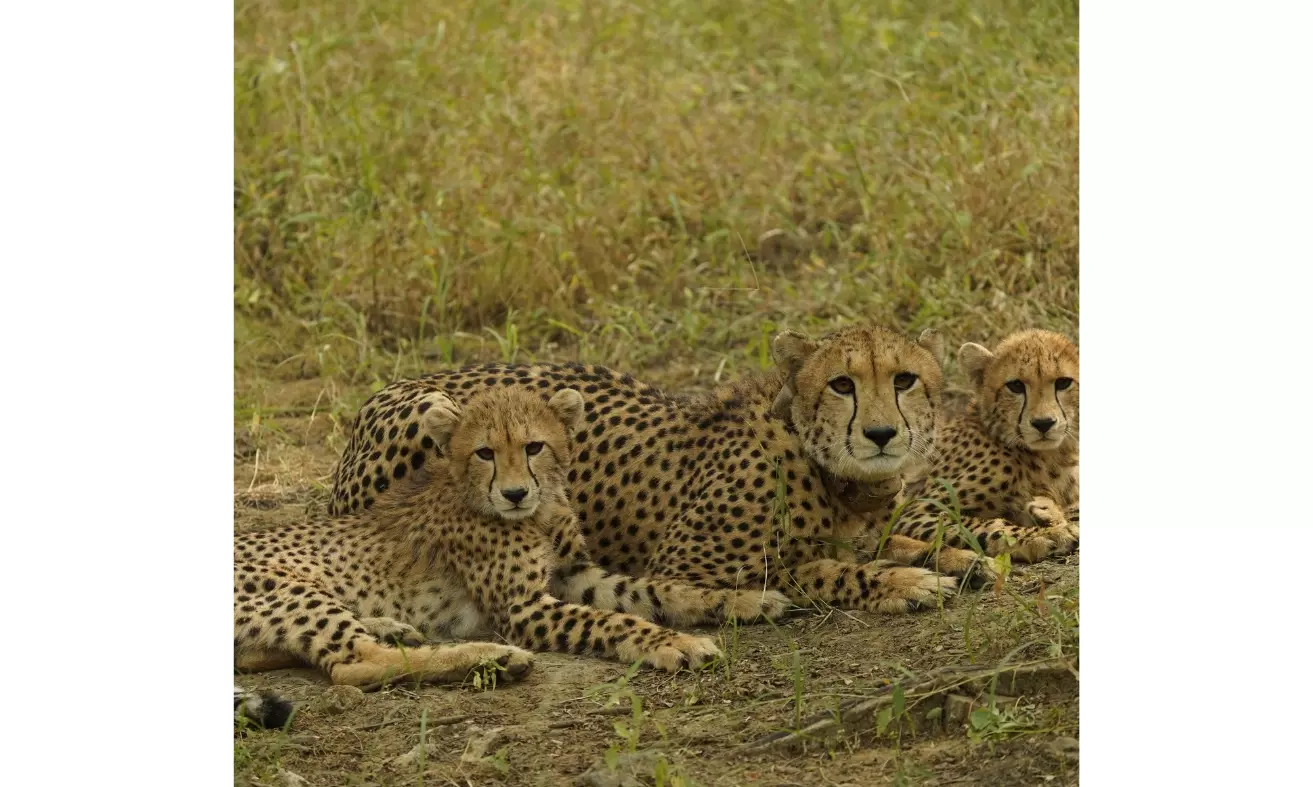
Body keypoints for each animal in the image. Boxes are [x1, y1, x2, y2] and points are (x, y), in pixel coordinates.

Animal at [235, 386, 783, 695]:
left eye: (534, 446)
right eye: (484, 453)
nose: (515, 492)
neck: (537, 513)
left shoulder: (573, 573)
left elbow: (655, 590)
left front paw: (742, 599)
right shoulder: (522, 608)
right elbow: (614, 620)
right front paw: (676, 643)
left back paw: (394, 627)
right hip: (292, 589)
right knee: (352, 665)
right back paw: (491, 659)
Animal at [329, 323, 999, 618]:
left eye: (904, 380)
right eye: (842, 384)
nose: (881, 434)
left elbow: (900, 540)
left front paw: (961, 556)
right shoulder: (685, 565)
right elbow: (814, 568)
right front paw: (903, 582)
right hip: (426, 414)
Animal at [889, 329, 1080, 563]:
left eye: (1063, 383)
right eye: (1015, 386)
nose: (1043, 423)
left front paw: (1046, 512)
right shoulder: (915, 512)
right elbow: (986, 525)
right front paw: (1044, 535)